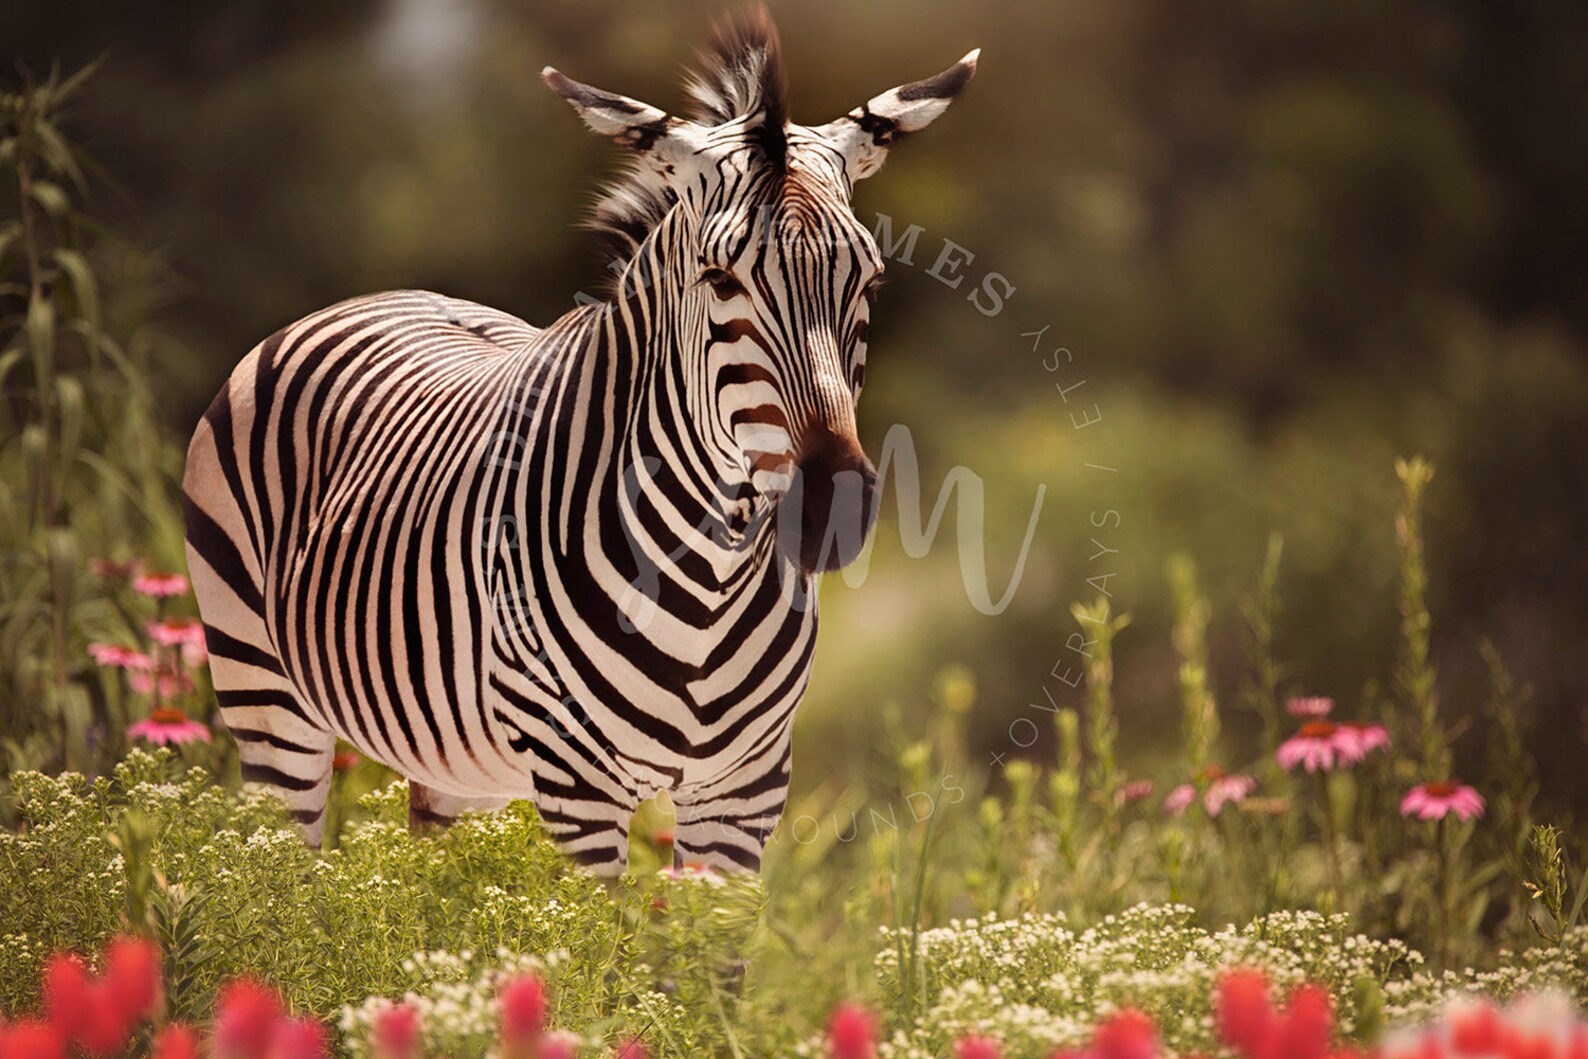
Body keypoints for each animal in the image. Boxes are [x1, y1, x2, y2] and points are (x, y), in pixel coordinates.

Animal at [182, 10, 978, 874]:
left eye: (869, 281)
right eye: (719, 279)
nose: (831, 506)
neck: (707, 582)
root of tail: (381, 294)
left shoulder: (745, 791)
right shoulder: (578, 790)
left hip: (456, 760)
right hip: (266, 698)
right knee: (283, 877)